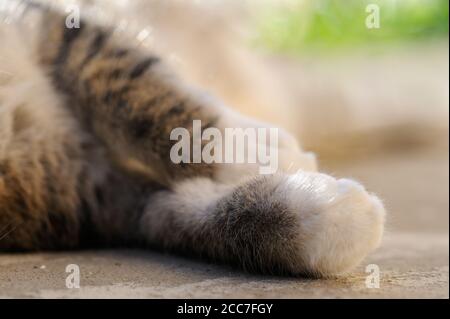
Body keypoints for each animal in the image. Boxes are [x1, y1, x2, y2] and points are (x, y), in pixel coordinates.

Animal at [0, 1, 384, 278]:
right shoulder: (98, 195)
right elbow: (189, 218)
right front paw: (330, 220)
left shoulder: (48, 25)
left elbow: (130, 86)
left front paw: (247, 147)